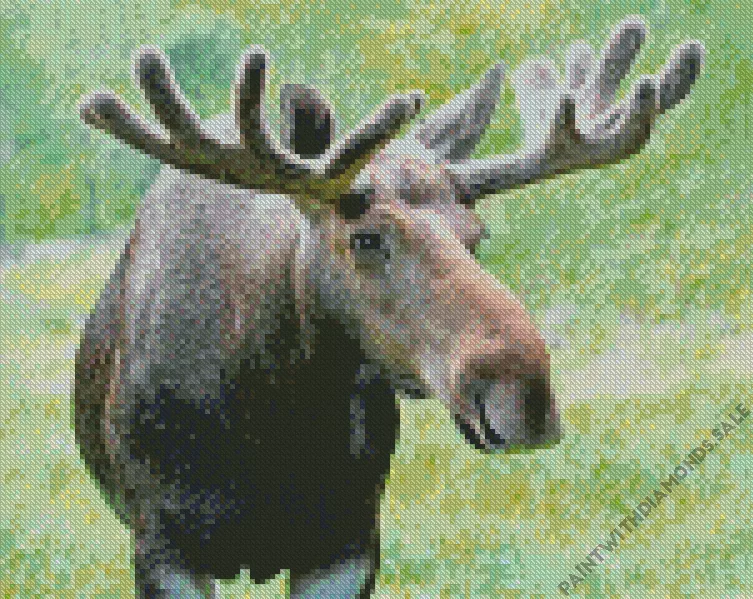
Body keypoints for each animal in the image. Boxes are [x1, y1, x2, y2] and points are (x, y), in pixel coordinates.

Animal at [73, 17, 703, 598]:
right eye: (367, 237)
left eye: (477, 234)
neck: (274, 417)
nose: (526, 395)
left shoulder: (348, 541)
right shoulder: (165, 546)